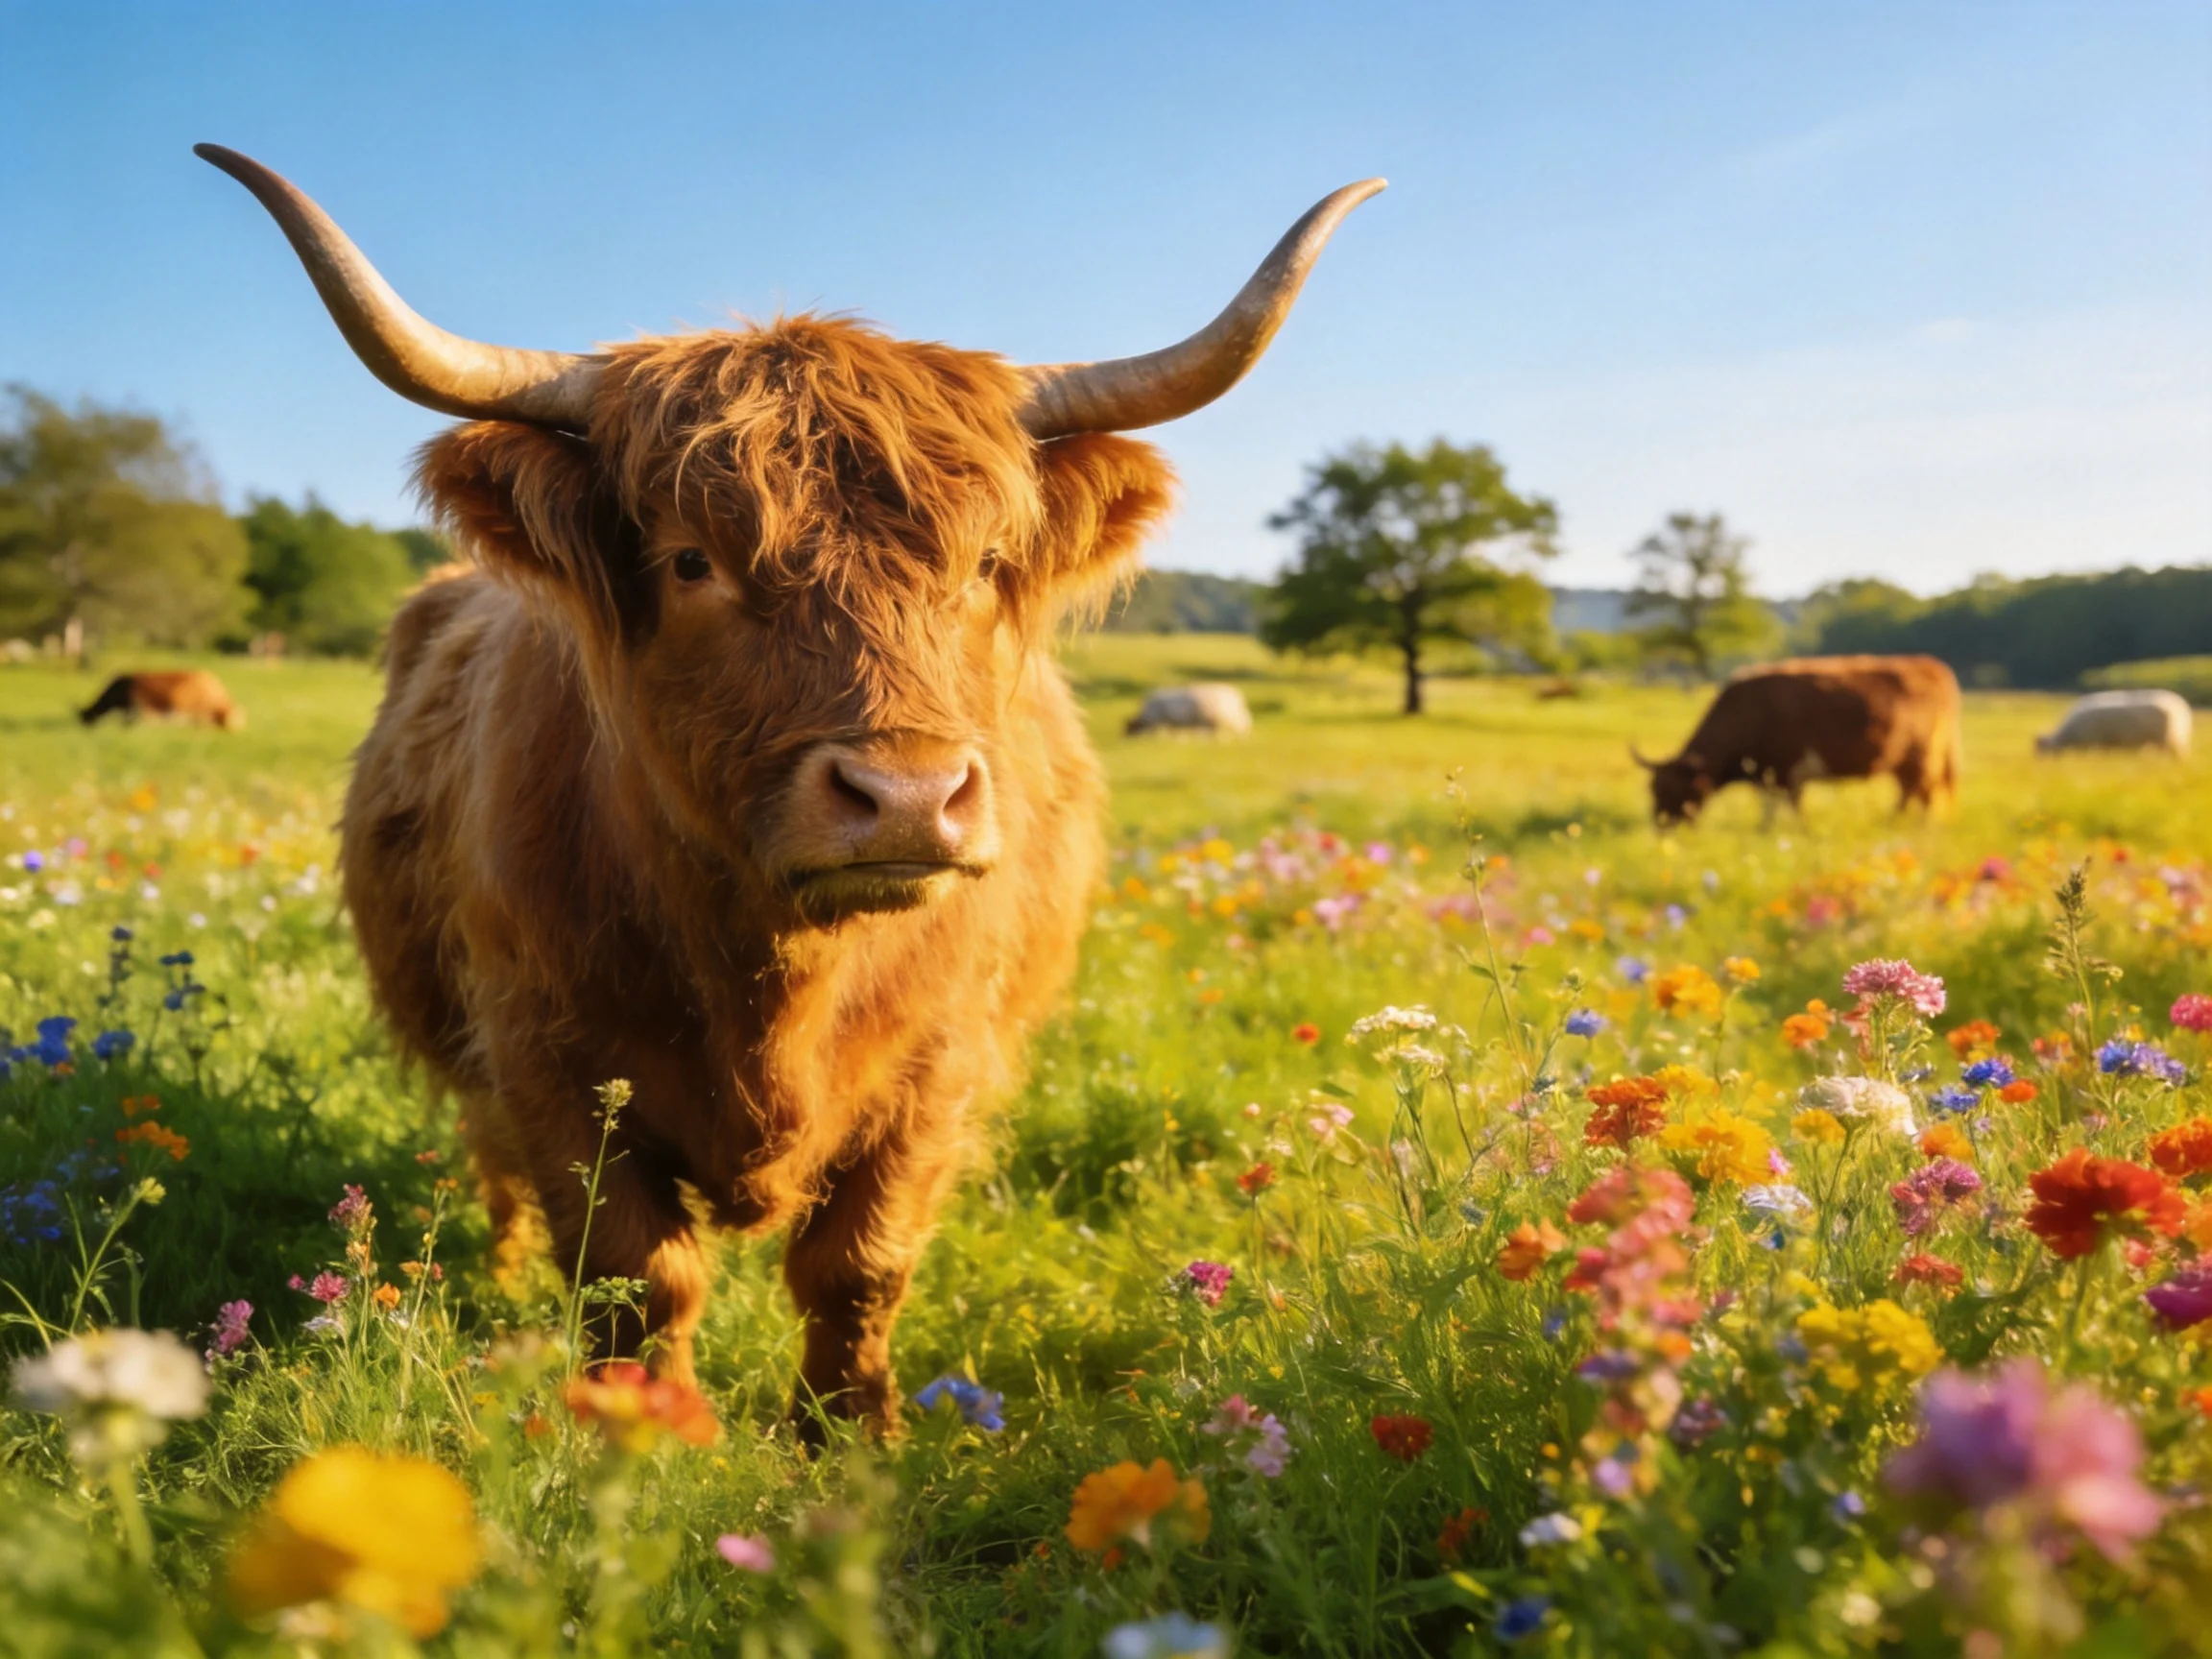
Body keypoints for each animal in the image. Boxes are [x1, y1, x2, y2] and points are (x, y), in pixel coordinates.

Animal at [1633, 654, 1960, 826]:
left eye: (1675, 789)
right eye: (1653, 789)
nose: (1660, 826)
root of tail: (1927, 663)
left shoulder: (1785, 770)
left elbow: (1788, 807)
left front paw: (1793, 829)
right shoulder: (1769, 774)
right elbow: (1772, 808)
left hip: (1921, 756)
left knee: (1925, 792)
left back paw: (1919, 826)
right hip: (1901, 760)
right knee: (1909, 791)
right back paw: (1892, 821)